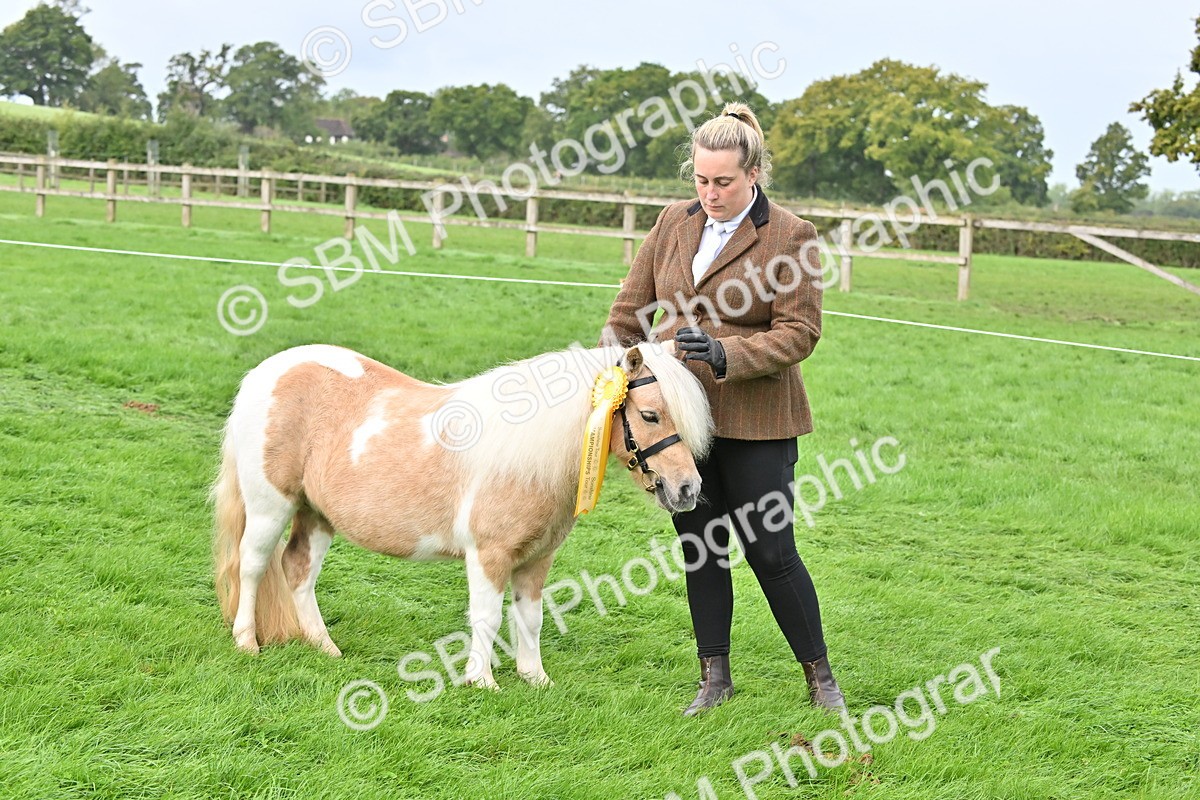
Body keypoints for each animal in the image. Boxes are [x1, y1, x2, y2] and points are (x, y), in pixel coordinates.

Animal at [212, 341, 713, 688]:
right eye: (650, 415)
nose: (687, 489)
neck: (525, 454)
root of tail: (267, 372)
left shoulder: (536, 559)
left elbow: (530, 617)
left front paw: (535, 678)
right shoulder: (489, 555)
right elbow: (486, 615)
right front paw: (481, 680)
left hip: (316, 514)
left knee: (298, 569)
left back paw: (325, 647)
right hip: (270, 506)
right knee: (252, 565)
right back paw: (247, 642)